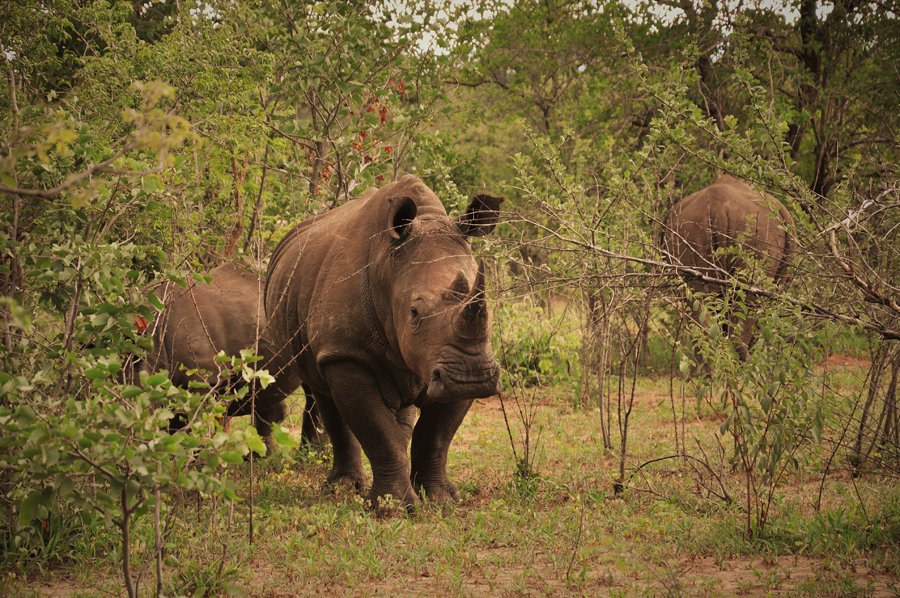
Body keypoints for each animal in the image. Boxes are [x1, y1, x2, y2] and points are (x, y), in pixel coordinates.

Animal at [268, 175, 502, 510]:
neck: (388, 271)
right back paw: (342, 487)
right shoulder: (346, 352)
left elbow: (435, 436)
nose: (472, 377)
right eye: (414, 312)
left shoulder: (459, 358)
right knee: (321, 391)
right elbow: (379, 432)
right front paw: (392, 508)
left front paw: (441, 500)